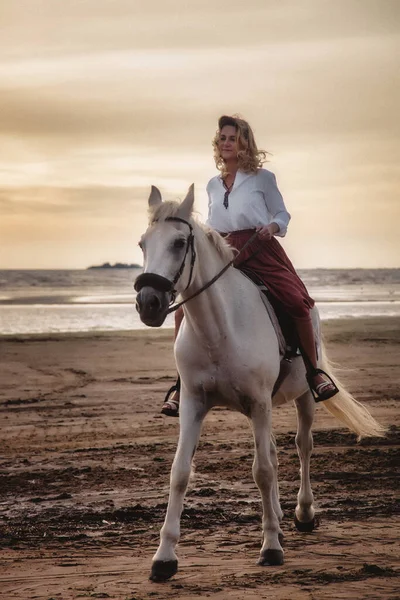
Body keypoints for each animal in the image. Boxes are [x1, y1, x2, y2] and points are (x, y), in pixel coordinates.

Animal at [134, 186, 384, 580]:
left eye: (178, 243)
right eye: (143, 243)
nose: (148, 303)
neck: (218, 330)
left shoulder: (260, 404)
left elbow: (263, 471)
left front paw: (270, 548)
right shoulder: (193, 404)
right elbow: (180, 472)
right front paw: (164, 557)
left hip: (303, 397)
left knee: (302, 446)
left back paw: (302, 513)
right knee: (275, 454)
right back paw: (279, 518)